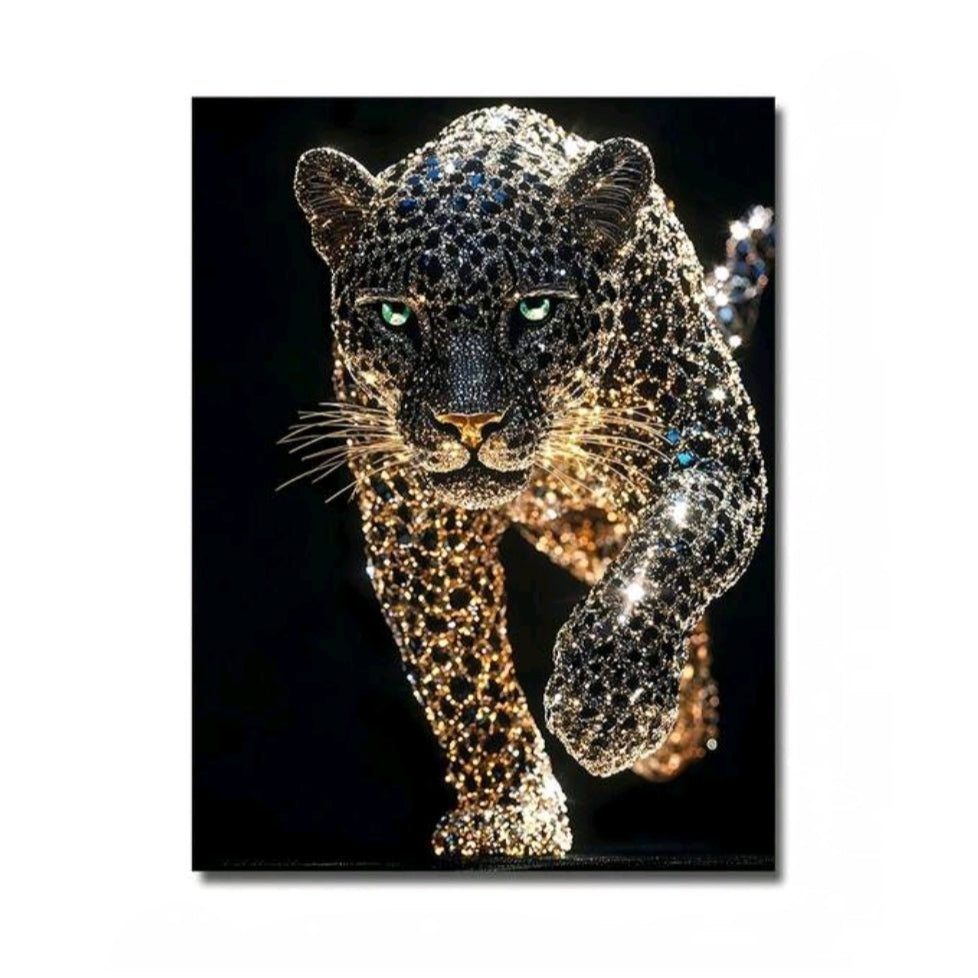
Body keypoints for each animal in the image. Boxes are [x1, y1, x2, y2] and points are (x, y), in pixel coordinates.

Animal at [285, 105, 768, 859]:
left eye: (535, 308)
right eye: (396, 314)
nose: (469, 418)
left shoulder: (716, 443)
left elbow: (674, 551)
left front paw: (606, 702)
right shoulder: (418, 526)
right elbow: (460, 667)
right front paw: (510, 810)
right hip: (577, 530)